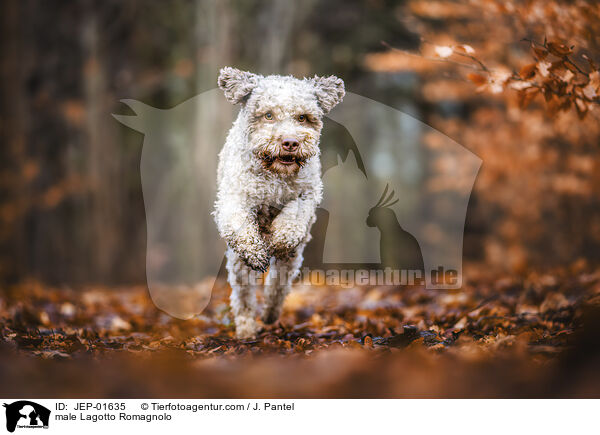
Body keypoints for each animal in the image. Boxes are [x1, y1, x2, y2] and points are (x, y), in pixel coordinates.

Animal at [213, 67, 344, 340]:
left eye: (302, 117)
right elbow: (240, 226)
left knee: (277, 286)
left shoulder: (306, 195)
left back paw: (270, 314)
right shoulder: (233, 198)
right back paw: (247, 329)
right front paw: (255, 252)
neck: (274, 175)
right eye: (268, 115)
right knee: (244, 295)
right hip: (237, 265)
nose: (290, 142)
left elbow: (292, 219)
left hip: (292, 260)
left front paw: (281, 239)